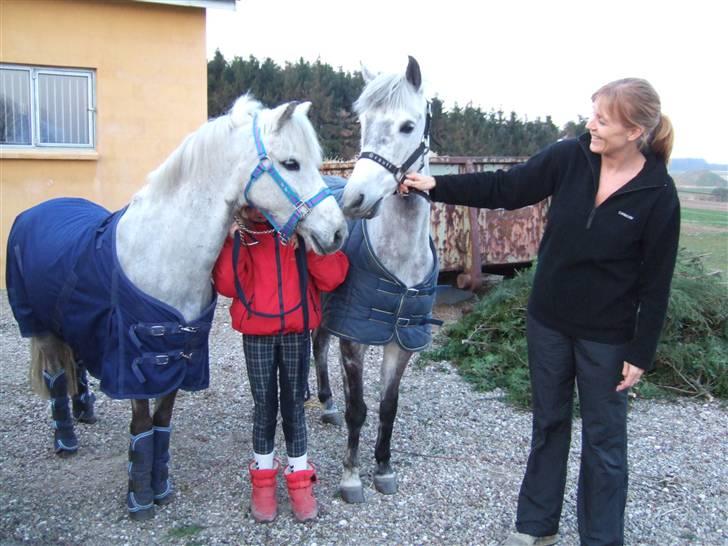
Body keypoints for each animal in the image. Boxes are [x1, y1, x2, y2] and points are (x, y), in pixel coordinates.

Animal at [5, 94, 346, 520]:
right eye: (290, 163)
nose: (337, 232)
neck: (162, 251)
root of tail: (39, 209)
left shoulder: (181, 354)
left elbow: (162, 420)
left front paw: (161, 487)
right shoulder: (136, 361)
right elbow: (141, 424)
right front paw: (139, 498)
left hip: (73, 321)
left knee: (76, 365)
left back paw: (85, 410)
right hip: (42, 328)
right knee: (55, 377)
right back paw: (65, 440)